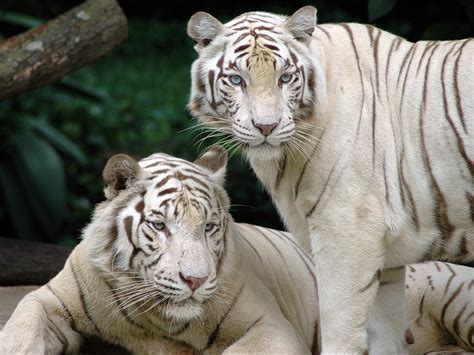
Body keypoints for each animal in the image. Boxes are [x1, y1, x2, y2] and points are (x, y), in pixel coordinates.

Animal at [187, 6, 472, 355]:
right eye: (237, 79)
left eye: (285, 78)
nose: (266, 126)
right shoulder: (387, 263)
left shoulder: (347, 233)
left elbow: (340, 328)